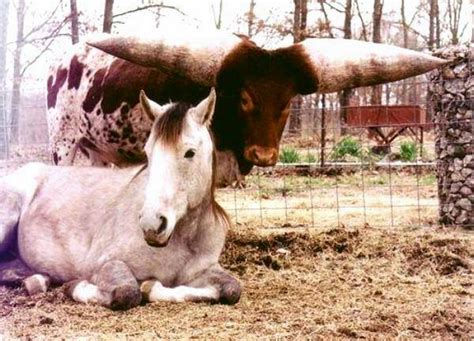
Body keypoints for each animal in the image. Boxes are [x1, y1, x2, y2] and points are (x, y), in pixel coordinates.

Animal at [0, 89, 239, 310]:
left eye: (190, 152)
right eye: (148, 152)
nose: (151, 225)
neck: (183, 238)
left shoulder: (206, 271)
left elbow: (232, 289)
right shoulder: (105, 264)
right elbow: (127, 292)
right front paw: (76, 286)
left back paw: (37, 280)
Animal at [47, 31, 444, 186]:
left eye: (287, 103)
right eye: (244, 98)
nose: (263, 155)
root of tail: (62, 61)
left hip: (99, 151)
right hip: (62, 145)